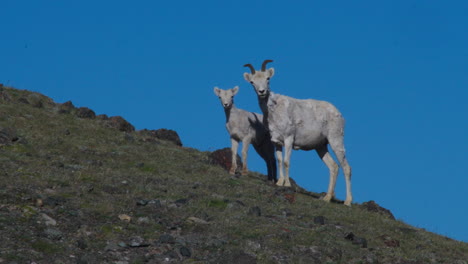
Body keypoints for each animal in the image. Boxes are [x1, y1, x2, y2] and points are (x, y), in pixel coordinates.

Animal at [243, 60, 352, 206]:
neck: (274, 111)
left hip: (335, 141)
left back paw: (347, 201)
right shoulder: (276, 142)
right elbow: (279, 160)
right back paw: (327, 198)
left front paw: (287, 184)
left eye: (268, 79)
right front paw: (279, 182)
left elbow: (286, 161)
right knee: (334, 167)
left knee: (346, 168)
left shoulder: (289, 139)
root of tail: (339, 114)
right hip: (321, 147)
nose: (262, 92)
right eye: (252, 82)